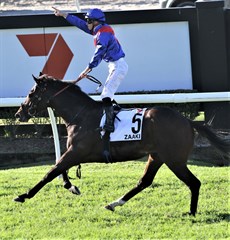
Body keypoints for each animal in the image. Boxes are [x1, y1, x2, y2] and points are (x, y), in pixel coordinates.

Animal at [14, 74, 230, 216]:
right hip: (157, 156)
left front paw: (24, 195)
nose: (19, 113)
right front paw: (72, 186)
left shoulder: (76, 151)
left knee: (194, 182)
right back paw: (114, 203)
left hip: (174, 159)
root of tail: (187, 121)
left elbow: (51, 172)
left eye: (31, 93)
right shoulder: (74, 152)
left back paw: (191, 212)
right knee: (144, 181)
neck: (81, 115)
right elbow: (60, 170)